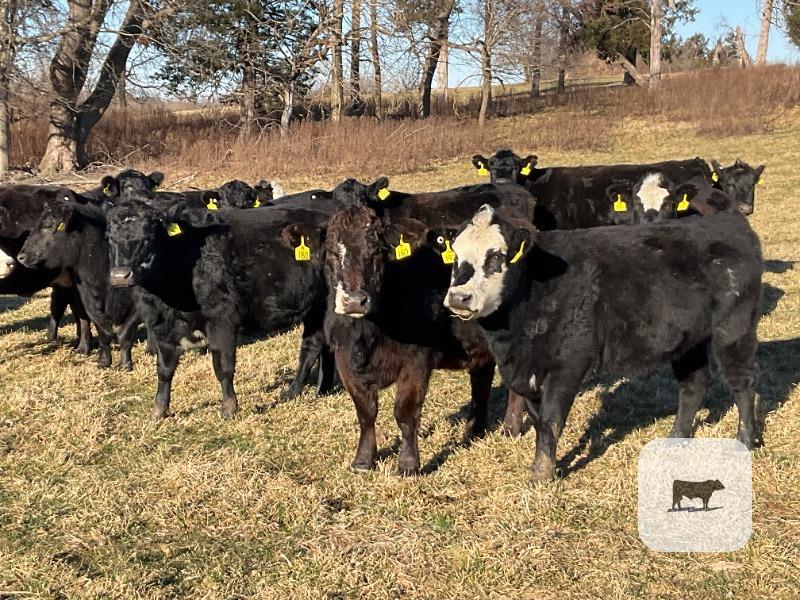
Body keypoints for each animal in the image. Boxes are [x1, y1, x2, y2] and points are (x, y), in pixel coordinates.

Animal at [17, 190, 141, 370]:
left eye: (48, 225)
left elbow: (125, 334)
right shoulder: (87, 297)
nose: (21, 256)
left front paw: (125, 365)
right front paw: (104, 362)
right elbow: (103, 331)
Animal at [104, 198, 341, 420]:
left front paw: (229, 408)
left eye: (148, 237)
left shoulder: (221, 319)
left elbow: (223, 367)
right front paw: (158, 411)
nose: (120, 275)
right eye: (110, 237)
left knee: (312, 347)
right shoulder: (161, 326)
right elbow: (164, 370)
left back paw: (293, 391)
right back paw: (320, 389)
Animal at [310, 179, 535, 475]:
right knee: (481, 379)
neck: (368, 333)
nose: (355, 300)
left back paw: (511, 427)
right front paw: (363, 460)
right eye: (332, 253)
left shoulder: (416, 360)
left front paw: (408, 465)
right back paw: (474, 430)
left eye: (379, 251)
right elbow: (365, 412)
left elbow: (405, 413)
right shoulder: (344, 360)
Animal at [444, 205, 762, 482]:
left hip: (734, 330)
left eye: (496, 257)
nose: (459, 297)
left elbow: (551, 420)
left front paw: (542, 476)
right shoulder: (528, 371)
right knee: (693, 385)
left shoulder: (568, 365)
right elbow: (537, 420)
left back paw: (746, 439)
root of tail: (731, 222)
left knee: (742, 384)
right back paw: (676, 438)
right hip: (689, 340)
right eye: (455, 257)